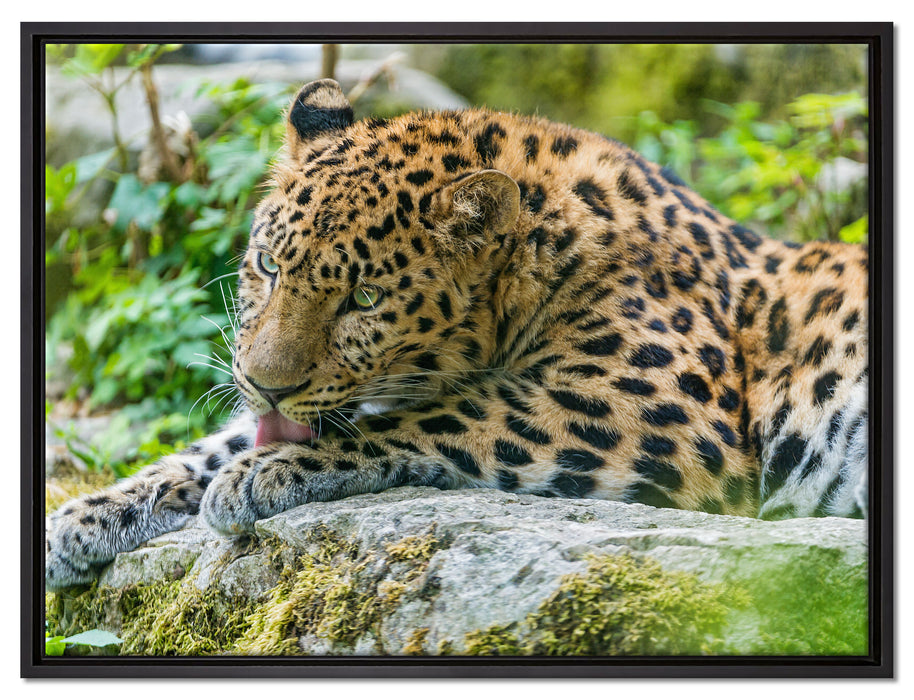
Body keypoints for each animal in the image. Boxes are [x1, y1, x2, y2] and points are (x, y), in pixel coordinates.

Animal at [45, 79, 869, 590]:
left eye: (365, 298)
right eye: (270, 265)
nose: (267, 383)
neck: (547, 254)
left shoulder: (659, 407)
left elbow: (450, 413)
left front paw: (261, 474)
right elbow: (214, 444)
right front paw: (82, 519)